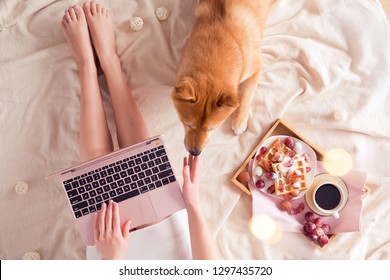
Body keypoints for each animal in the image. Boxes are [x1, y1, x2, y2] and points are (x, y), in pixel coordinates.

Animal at [172, 0, 272, 155]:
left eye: (212, 128)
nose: (195, 152)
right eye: (188, 124)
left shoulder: (256, 67)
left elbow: (245, 95)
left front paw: (239, 122)